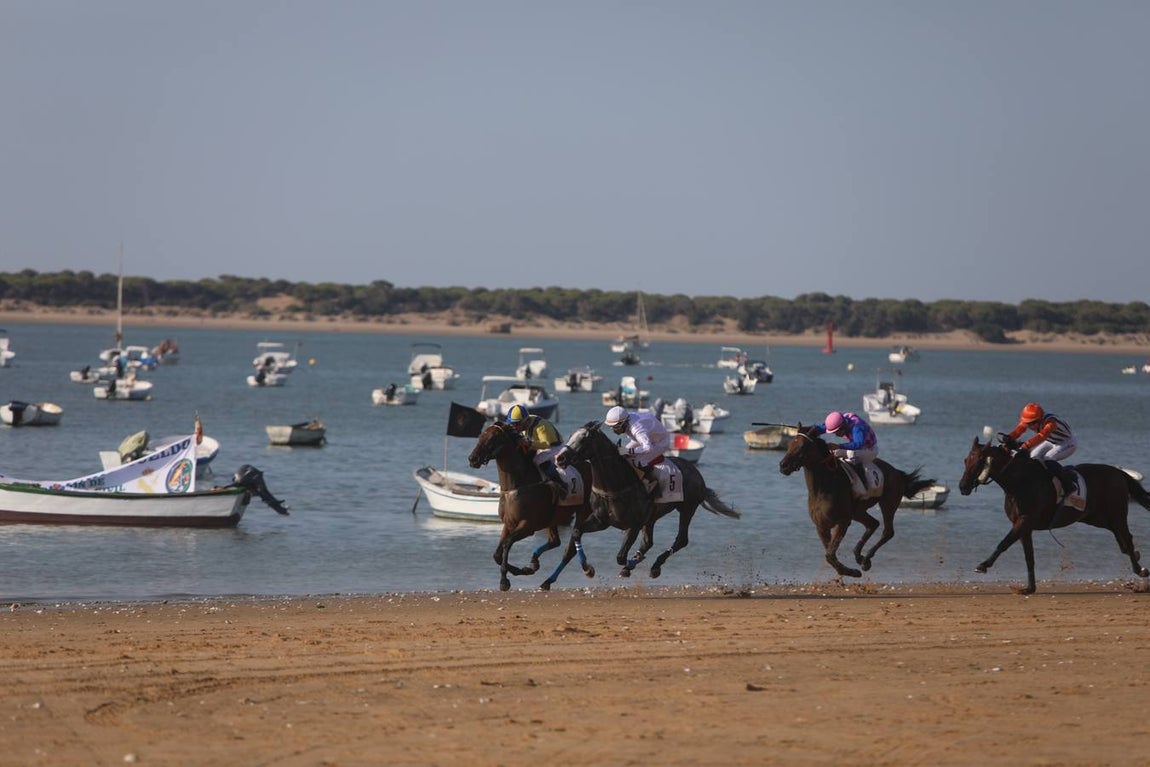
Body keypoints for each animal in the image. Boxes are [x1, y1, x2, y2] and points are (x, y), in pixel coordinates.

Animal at [467, 421, 592, 591]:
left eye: (493, 437)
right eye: (481, 435)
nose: (472, 458)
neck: (517, 486)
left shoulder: (528, 525)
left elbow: (507, 544)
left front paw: (504, 580)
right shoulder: (508, 524)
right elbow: (497, 554)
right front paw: (523, 570)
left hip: (582, 512)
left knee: (570, 549)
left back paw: (551, 579)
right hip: (551, 518)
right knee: (555, 541)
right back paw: (534, 563)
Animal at [549, 420, 740, 588]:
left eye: (584, 439)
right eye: (570, 436)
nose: (559, 458)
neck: (615, 485)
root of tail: (696, 472)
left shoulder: (633, 524)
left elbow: (620, 557)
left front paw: (631, 563)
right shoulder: (601, 521)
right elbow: (576, 532)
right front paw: (587, 569)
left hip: (687, 509)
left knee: (681, 540)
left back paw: (655, 566)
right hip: (652, 517)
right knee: (649, 542)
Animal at [778, 424, 936, 578]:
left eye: (802, 447)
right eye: (790, 444)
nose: (783, 465)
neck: (824, 486)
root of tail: (897, 472)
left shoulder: (842, 522)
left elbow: (830, 555)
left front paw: (851, 572)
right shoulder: (821, 526)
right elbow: (830, 554)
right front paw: (846, 570)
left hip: (888, 502)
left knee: (887, 531)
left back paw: (865, 560)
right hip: (858, 511)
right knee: (873, 524)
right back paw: (859, 556)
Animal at [958, 436, 1150, 594]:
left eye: (979, 461)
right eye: (966, 460)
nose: (962, 486)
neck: (1019, 482)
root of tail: (1119, 473)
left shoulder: (1025, 521)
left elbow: (1004, 543)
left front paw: (983, 565)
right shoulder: (1023, 526)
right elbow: (1029, 557)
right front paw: (1029, 588)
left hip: (1116, 514)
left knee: (1127, 537)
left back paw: (1140, 570)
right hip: (1096, 518)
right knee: (1122, 538)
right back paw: (1136, 558)